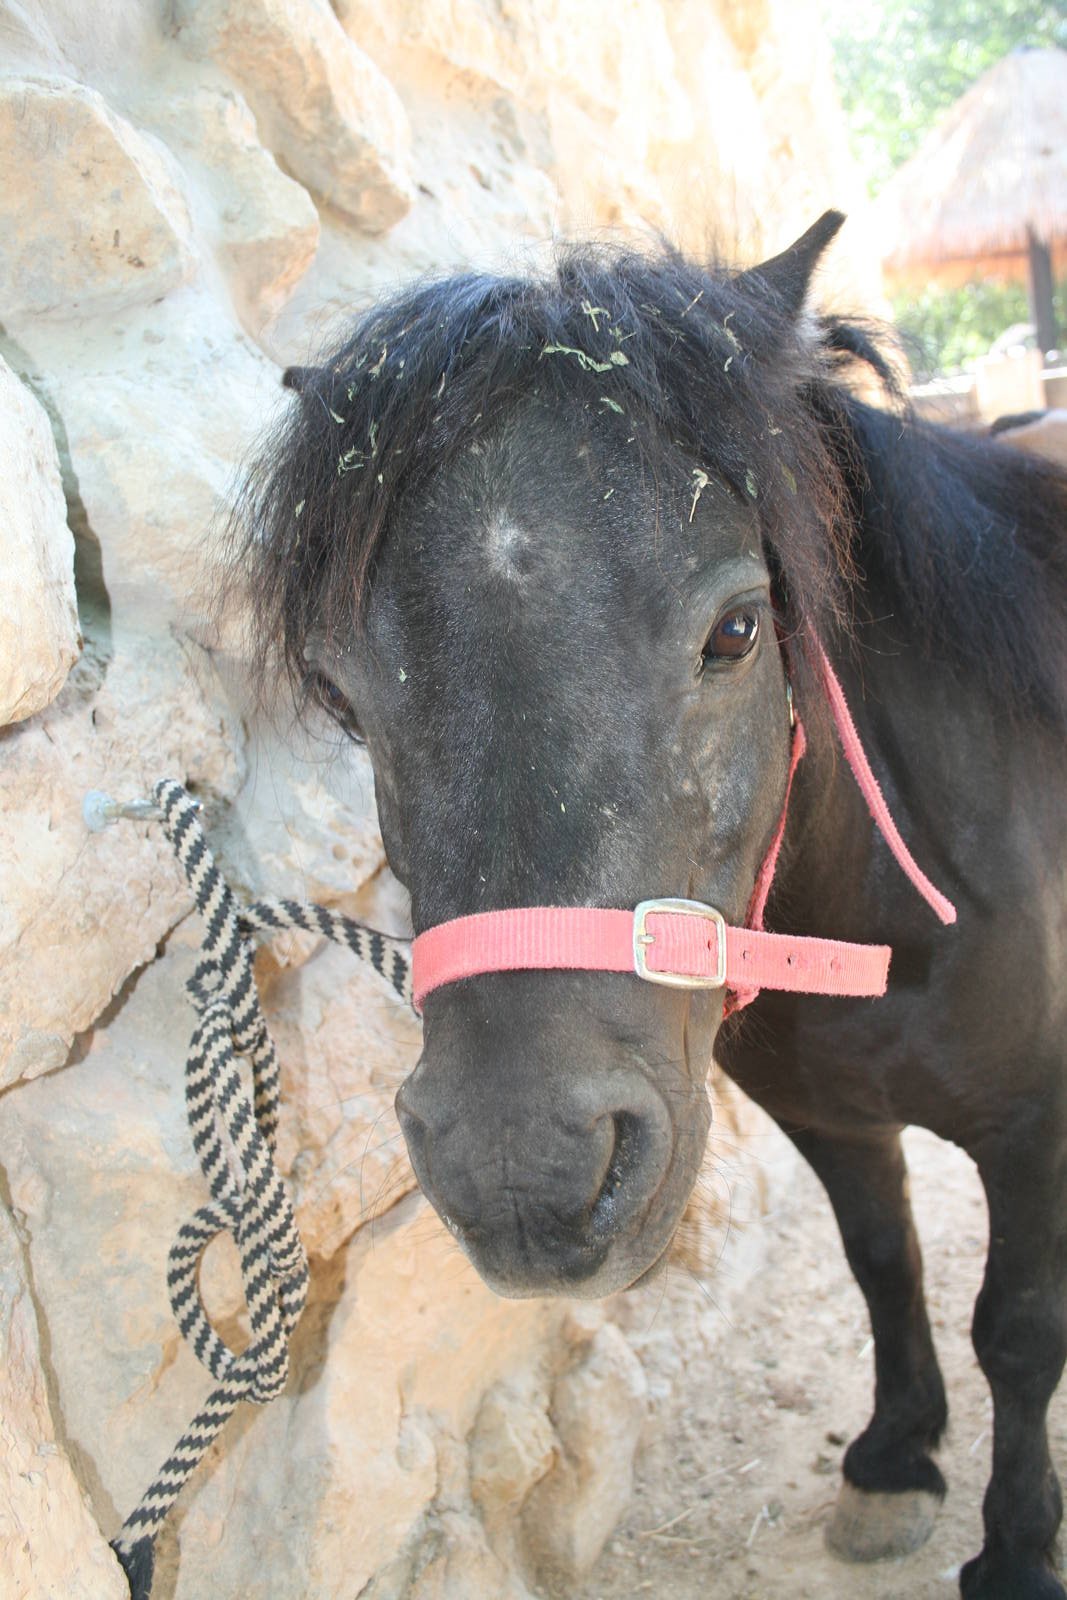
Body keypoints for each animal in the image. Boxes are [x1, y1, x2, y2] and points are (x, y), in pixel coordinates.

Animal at [230, 212, 1067, 1599]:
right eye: (343, 696)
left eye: (735, 628)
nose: (520, 1169)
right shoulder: (829, 1118)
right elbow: (881, 1261)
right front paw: (895, 1455)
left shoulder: (1035, 1132)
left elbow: (1016, 1331)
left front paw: (1012, 1545)